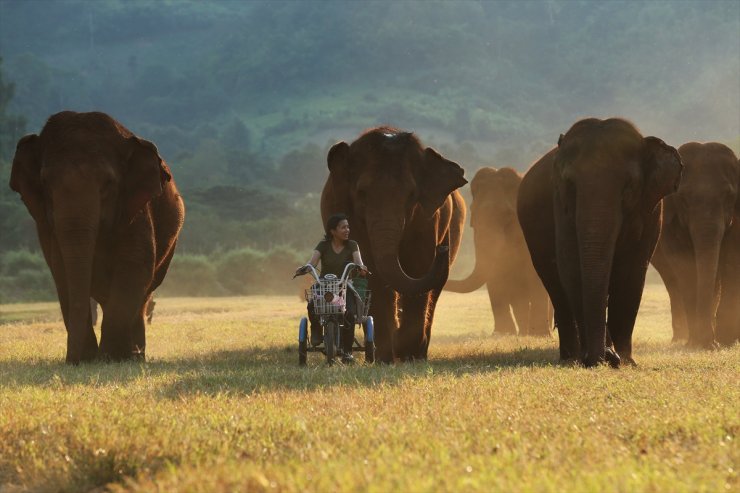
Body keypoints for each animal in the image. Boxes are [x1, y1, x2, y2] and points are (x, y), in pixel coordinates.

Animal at [9, 112, 185, 366]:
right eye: (45, 184)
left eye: (108, 184)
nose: (72, 361)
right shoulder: (47, 227)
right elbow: (61, 270)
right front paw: (92, 358)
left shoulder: (134, 209)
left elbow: (134, 265)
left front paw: (110, 359)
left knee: (144, 293)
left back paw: (135, 357)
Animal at [320, 126, 468, 362]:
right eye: (361, 193)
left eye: (412, 194)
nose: (443, 247)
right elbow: (372, 273)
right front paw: (387, 357)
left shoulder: (427, 219)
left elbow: (419, 267)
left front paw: (408, 354)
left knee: (435, 287)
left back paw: (418, 352)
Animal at [446, 167, 548, 336]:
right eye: (473, 213)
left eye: (506, 215)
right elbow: (495, 277)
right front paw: (501, 334)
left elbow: (535, 276)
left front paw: (539, 335)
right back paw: (522, 332)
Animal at [516, 117, 684, 368]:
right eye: (570, 184)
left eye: (629, 186)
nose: (605, 357)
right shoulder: (561, 204)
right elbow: (571, 265)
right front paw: (600, 357)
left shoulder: (651, 211)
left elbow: (632, 271)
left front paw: (626, 361)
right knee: (555, 285)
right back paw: (570, 358)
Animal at [652, 140, 736, 344]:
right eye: (683, 198)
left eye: (728, 196)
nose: (711, 345)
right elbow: (684, 264)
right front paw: (698, 344)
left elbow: (732, 258)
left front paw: (725, 340)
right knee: (672, 280)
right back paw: (681, 338)